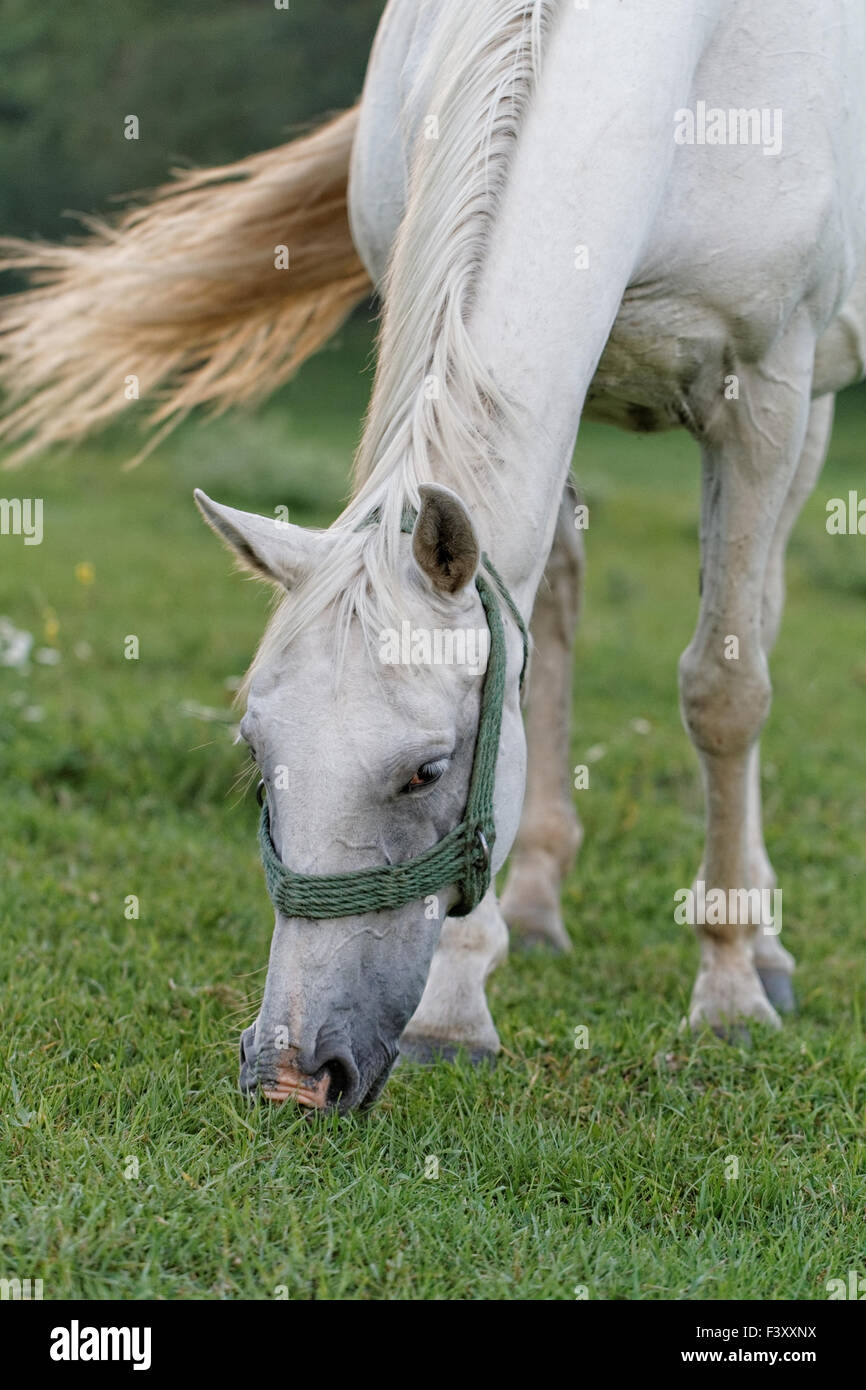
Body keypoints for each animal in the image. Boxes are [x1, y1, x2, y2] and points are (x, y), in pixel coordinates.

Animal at [2, 0, 865, 1113]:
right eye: (256, 758)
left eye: (424, 773)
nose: (292, 1073)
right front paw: (459, 1004)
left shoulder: (763, 394)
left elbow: (724, 691)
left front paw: (726, 991)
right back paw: (534, 907)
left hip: (807, 415)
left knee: (753, 617)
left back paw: (760, 950)